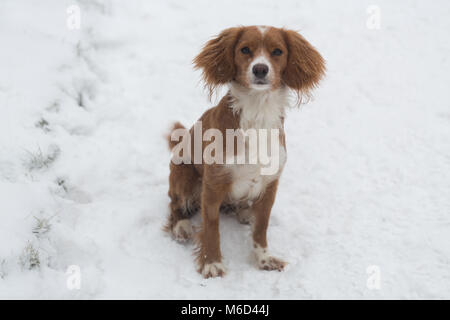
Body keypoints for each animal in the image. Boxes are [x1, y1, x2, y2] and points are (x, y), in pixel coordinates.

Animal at [164, 25, 324, 278]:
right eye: (245, 50)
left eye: (277, 51)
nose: (260, 69)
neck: (258, 111)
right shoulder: (213, 183)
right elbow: (211, 227)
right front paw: (212, 263)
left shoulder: (270, 184)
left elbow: (261, 228)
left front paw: (264, 259)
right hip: (184, 174)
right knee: (174, 205)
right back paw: (181, 227)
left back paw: (244, 212)